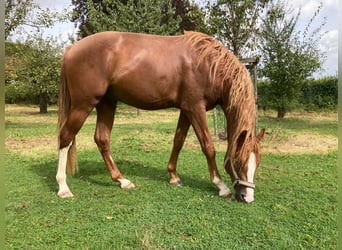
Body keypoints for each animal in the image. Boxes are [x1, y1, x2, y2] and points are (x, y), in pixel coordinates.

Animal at [56, 31, 266, 203]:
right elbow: (208, 146)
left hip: (106, 103)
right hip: (83, 104)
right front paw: (221, 187)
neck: (208, 64)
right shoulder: (195, 108)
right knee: (65, 137)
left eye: (258, 162)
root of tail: (71, 49)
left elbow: (178, 140)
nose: (247, 197)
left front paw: (173, 176)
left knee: (102, 138)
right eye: (238, 161)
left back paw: (122, 180)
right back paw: (63, 187)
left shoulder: (186, 109)